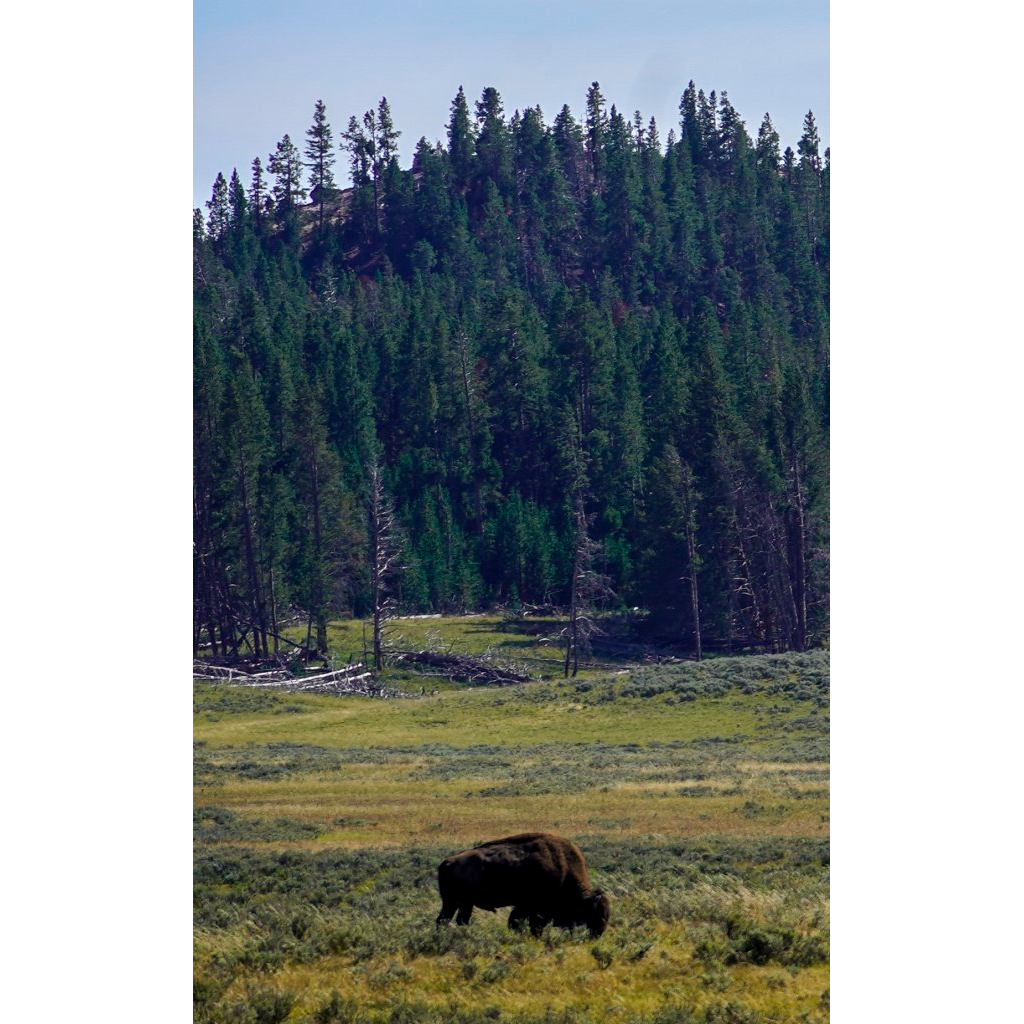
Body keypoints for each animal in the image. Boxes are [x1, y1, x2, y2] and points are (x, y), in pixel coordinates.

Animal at [436, 832, 610, 937]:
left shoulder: (523, 907)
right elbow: (529, 925)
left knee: (448, 920)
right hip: (461, 903)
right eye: (596, 913)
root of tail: (447, 862)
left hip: (456, 903)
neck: (565, 868)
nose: (598, 933)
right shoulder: (534, 909)